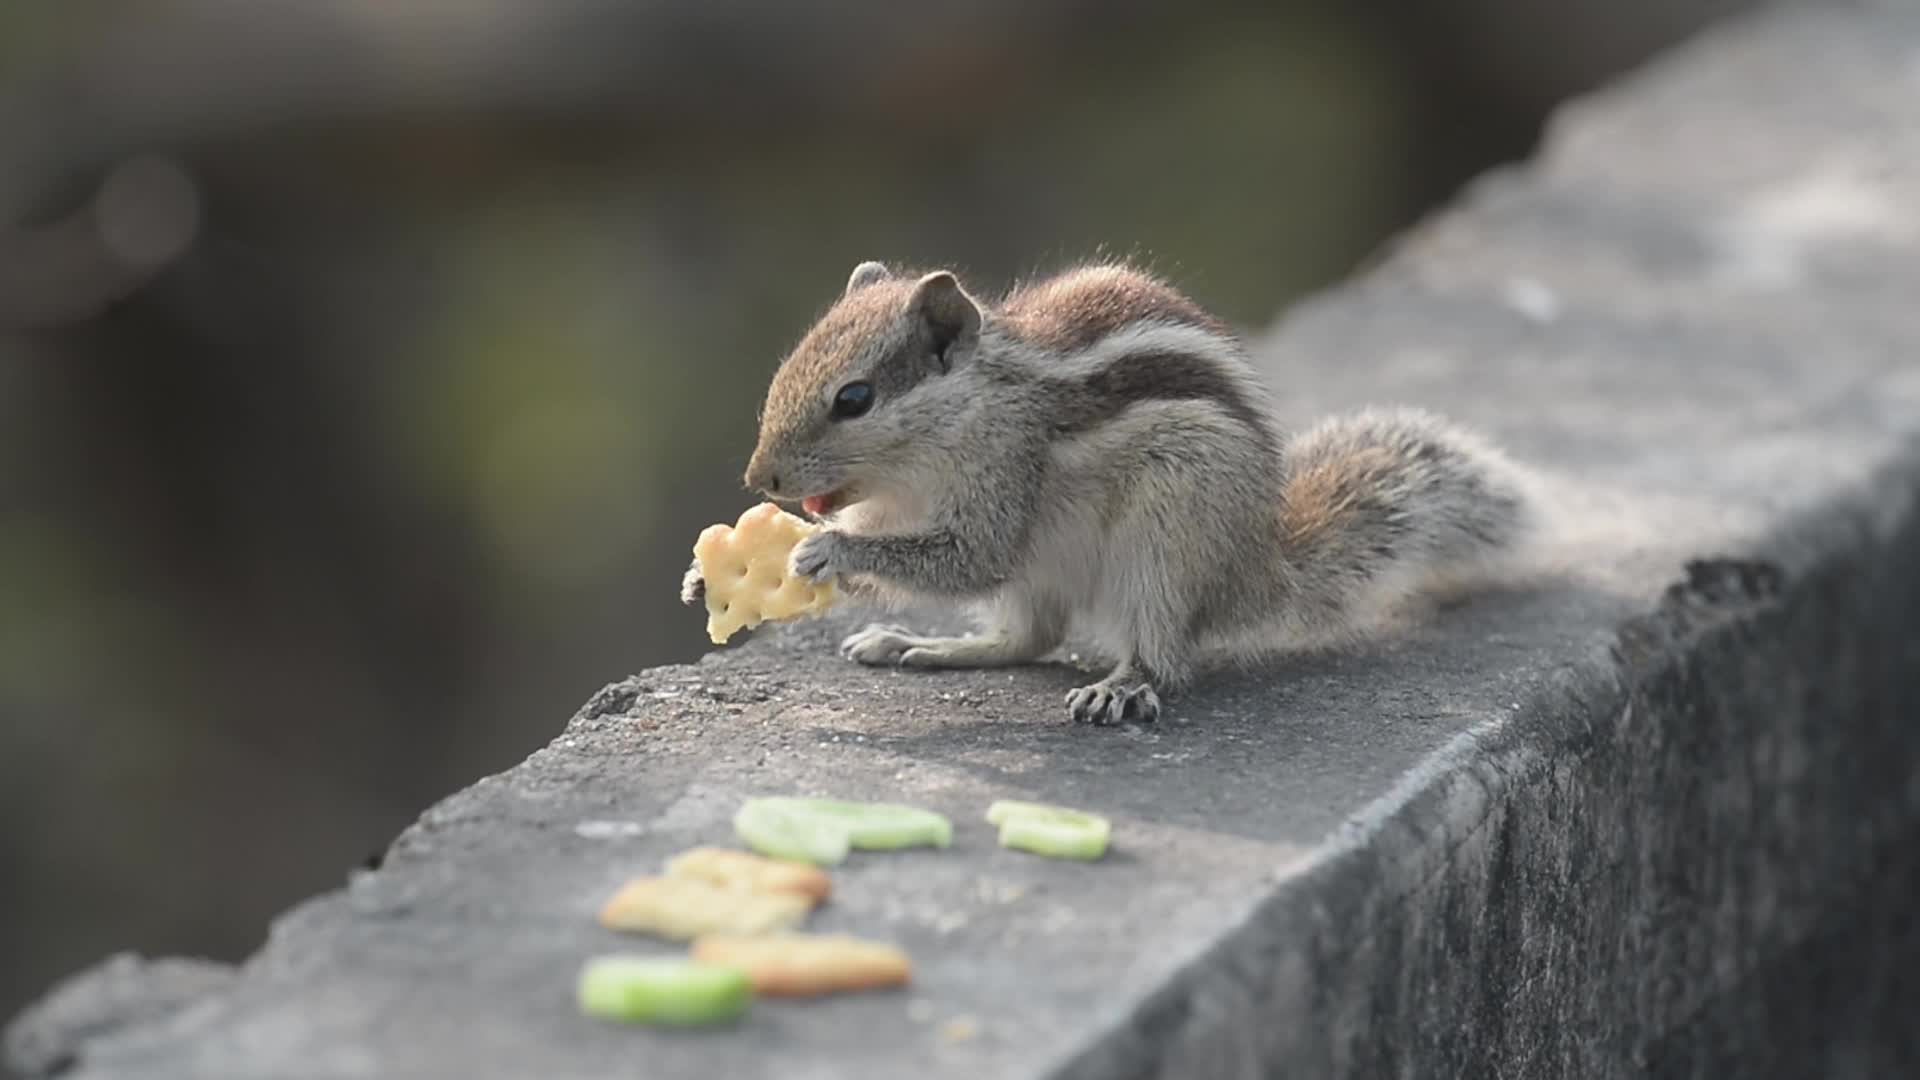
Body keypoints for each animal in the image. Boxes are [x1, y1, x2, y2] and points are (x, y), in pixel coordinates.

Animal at [682, 259, 1533, 726]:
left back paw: (1121, 686)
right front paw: (701, 577)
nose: (760, 480)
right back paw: (923, 645)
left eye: (853, 399)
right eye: (788, 365)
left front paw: (828, 550)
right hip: (1058, 575)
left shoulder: (1004, 475)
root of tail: (1253, 571)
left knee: (1160, 655)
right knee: (1029, 638)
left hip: (1167, 537)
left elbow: (967, 560)